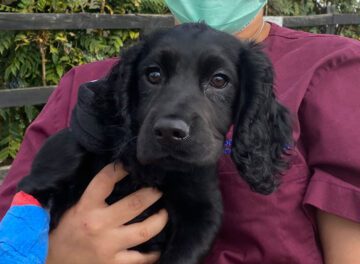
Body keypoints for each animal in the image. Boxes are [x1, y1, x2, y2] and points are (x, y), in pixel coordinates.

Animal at [18, 23, 292, 264]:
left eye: (219, 80)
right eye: (153, 75)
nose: (170, 132)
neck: (154, 171)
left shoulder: (202, 216)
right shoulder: (45, 179)